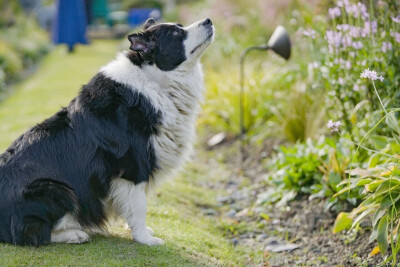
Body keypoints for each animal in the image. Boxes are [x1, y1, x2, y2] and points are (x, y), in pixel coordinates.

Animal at [0, 17, 212, 247]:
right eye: (175, 33)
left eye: (180, 26)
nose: (208, 20)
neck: (154, 80)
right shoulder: (132, 168)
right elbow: (139, 206)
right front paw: (145, 239)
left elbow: (132, 207)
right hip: (56, 190)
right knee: (31, 233)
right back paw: (75, 234)